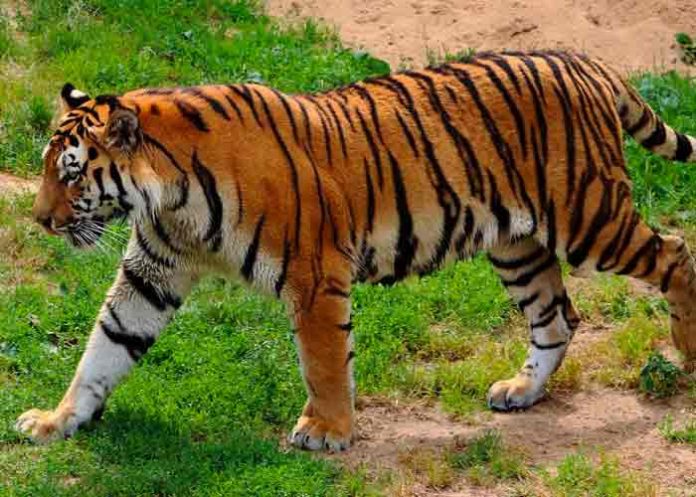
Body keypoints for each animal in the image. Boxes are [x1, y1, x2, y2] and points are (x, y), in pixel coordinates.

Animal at [16, 50, 696, 452]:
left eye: (71, 173)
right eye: (49, 169)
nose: (41, 219)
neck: (171, 199)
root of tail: (582, 60)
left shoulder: (314, 277)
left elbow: (322, 363)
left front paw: (327, 431)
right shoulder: (151, 274)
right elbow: (103, 350)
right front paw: (57, 420)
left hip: (588, 218)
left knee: (675, 253)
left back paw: (686, 352)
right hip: (517, 244)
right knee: (556, 319)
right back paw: (520, 391)